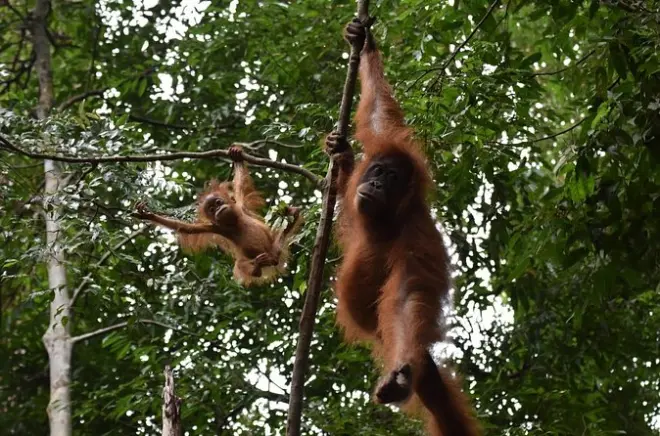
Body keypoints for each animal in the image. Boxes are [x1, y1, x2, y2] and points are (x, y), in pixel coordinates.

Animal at [134, 146, 303, 286]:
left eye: (218, 202)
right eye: (211, 209)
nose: (218, 209)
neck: (235, 222)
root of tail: (274, 260)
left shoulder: (240, 206)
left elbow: (241, 185)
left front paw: (237, 156)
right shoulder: (216, 228)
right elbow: (186, 228)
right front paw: (149, 216)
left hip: (275, 246)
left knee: (292, 216)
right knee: (241, 264)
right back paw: (256, 269)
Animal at [324, 18, 480, 436]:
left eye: (392, 180)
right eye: (379, 171)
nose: (377, 184)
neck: (383, 223)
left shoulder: (418, 237)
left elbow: (408, 296)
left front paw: (400, 378)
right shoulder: (381, 146)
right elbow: (379, 114)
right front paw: (364, 43)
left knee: (431, 385)